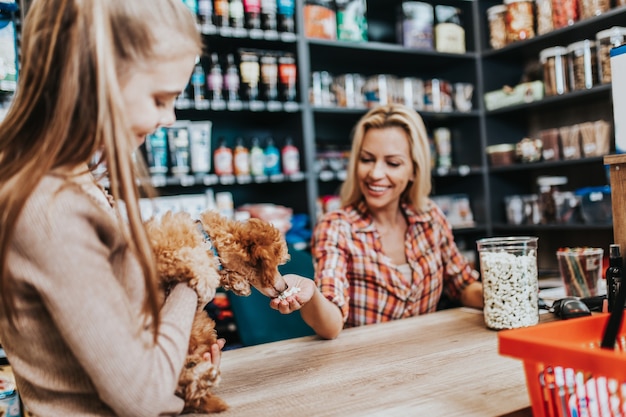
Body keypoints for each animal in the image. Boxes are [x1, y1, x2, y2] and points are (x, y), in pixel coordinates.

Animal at [144, 210, 288, 412]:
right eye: (275, 265)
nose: (286, 286)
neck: (208, 241)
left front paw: (238, 283)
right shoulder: (159, 253)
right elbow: (186, 256)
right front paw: (206, 279)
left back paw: (200, 375)